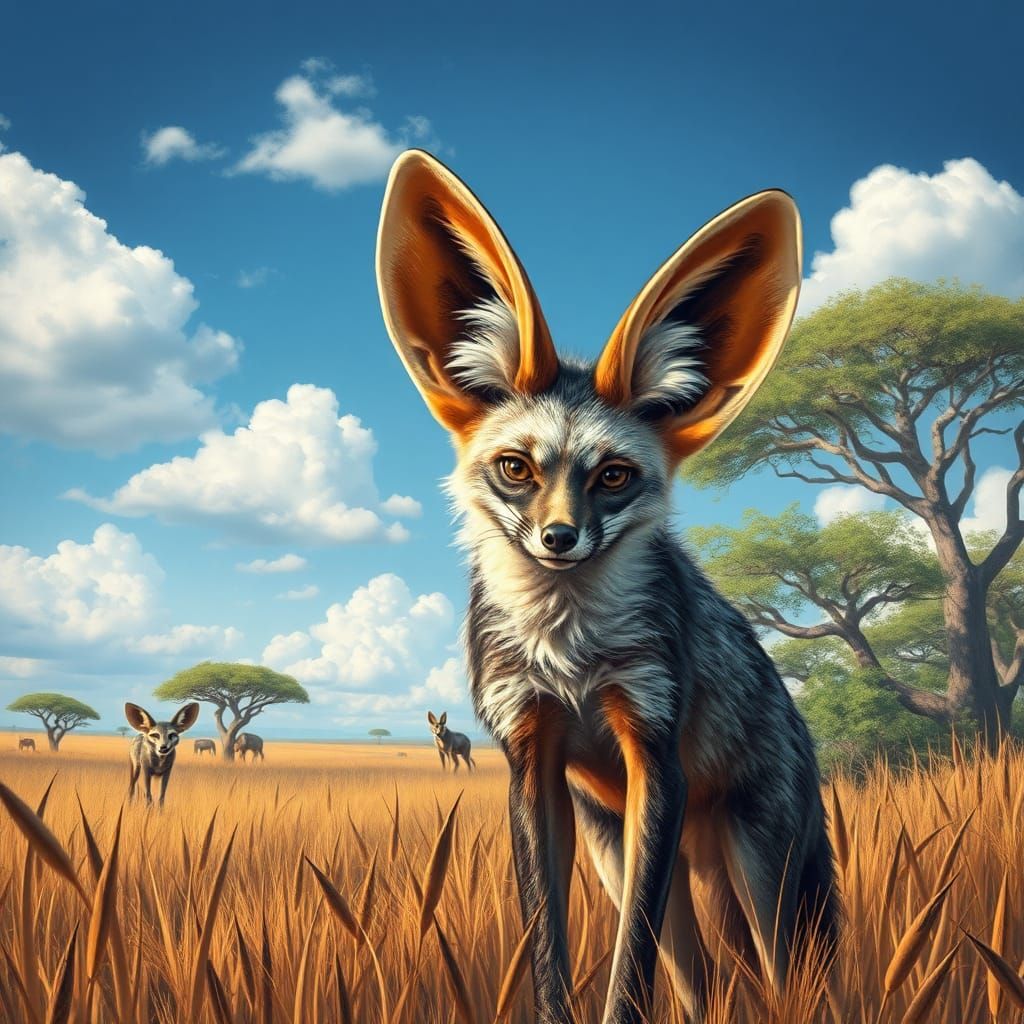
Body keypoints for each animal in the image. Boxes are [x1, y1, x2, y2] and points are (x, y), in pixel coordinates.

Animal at [375, 150, 840, 1024]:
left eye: (614, 476)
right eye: (516, 469)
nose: (560, 539)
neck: (569, 654)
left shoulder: (653, 749)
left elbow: (630, 968)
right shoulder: (532, 756)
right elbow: (549, 948)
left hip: (759, 871)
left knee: (790, 976)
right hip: (616, 851)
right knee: (701, 983)